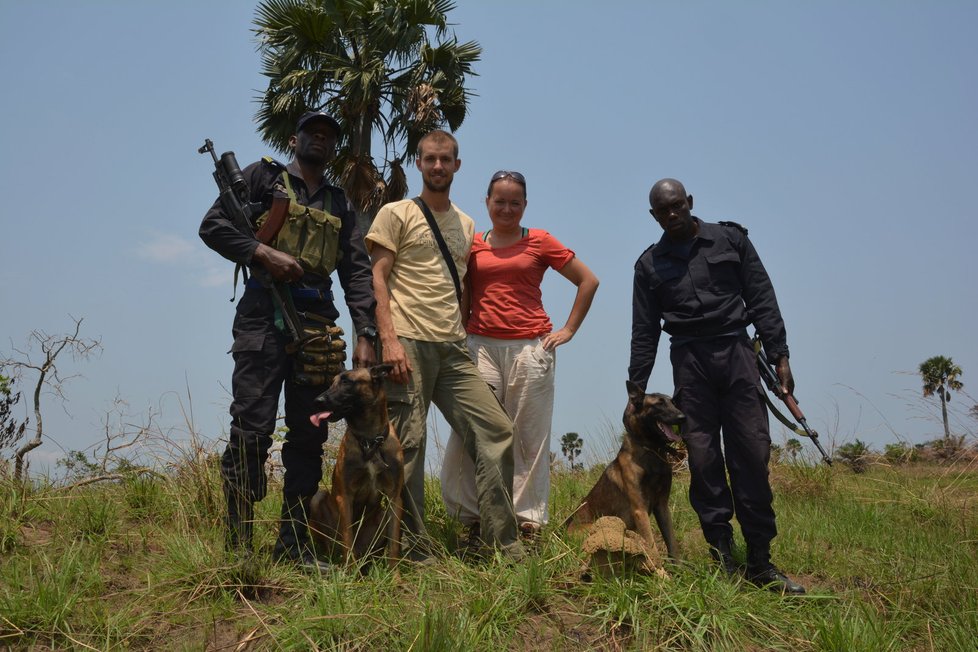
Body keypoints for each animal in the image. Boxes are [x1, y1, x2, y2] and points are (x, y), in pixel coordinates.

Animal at [310, 364, 406, 568]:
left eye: (347, 381)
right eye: (331, 382)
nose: (317, 401)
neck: (370, 440)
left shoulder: (394, 498)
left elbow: (394, 545)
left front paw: (395, 575)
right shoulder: (345, 497)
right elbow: (348, 539)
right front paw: (350, 572)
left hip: (382, 516)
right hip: (317, 498)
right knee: (335, 547)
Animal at [564, 382, 688, 560]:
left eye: (673, 403)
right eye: (659, 404)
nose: (682, 417)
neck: (651, 449)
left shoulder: (662, 506)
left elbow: (672, 543)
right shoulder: (640, 510)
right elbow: (653, 549)